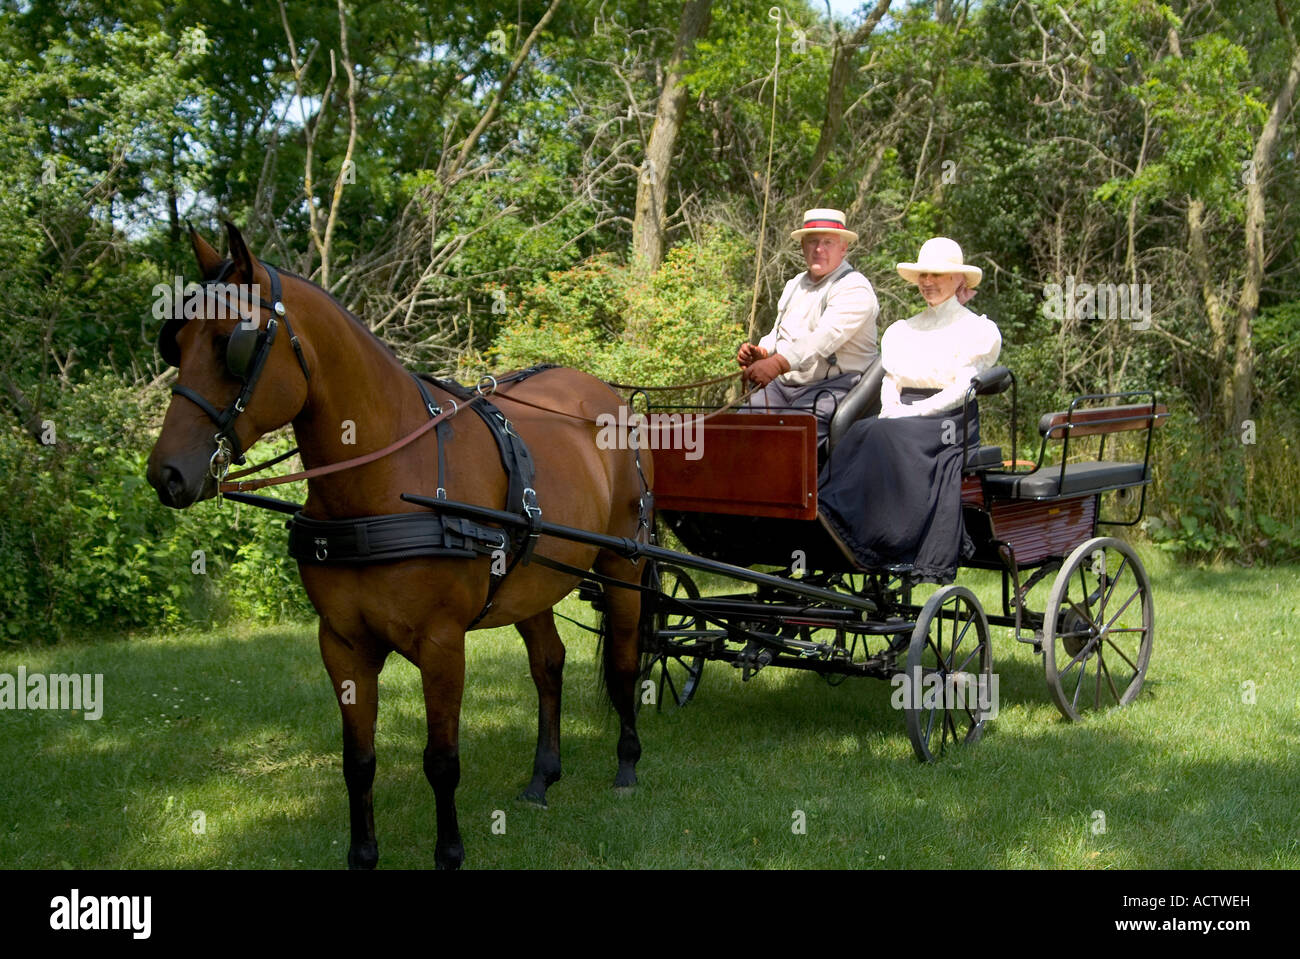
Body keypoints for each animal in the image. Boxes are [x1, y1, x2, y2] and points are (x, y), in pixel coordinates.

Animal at [147, 222, 650, 868]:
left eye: (230, 344)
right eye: (177, 342)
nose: (166, 474)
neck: (381, 485)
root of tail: (610, 398)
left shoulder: (442, 645)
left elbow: (441, 762)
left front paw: (449, 854)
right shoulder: (342, 644)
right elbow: (358, 763)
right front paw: (363, 855)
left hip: (624, 563)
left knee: (624, 661)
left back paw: (628, 766)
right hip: (530, 578)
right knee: (548, 665)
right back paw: (543, 777)